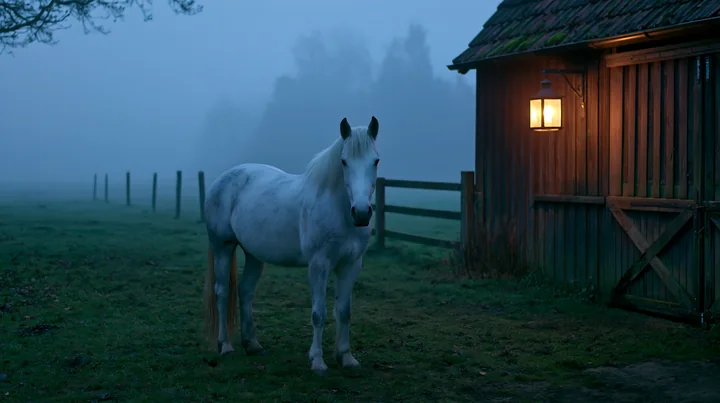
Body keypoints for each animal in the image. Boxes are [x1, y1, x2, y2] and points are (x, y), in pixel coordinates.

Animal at [203, 116, 380, 374]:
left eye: (375, 161)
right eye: (344, 161)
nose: (362, 213)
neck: (337, 209)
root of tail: (221, 180)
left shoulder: (351, 264)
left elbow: (344, 311)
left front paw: (346, 358)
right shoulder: (318, 264)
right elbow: (319, 313)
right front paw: (317, 361)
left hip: (254, 254)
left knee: (245, 291)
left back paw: (252, 344)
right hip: (223, 248)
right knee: (222, 292)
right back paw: (225, 345)